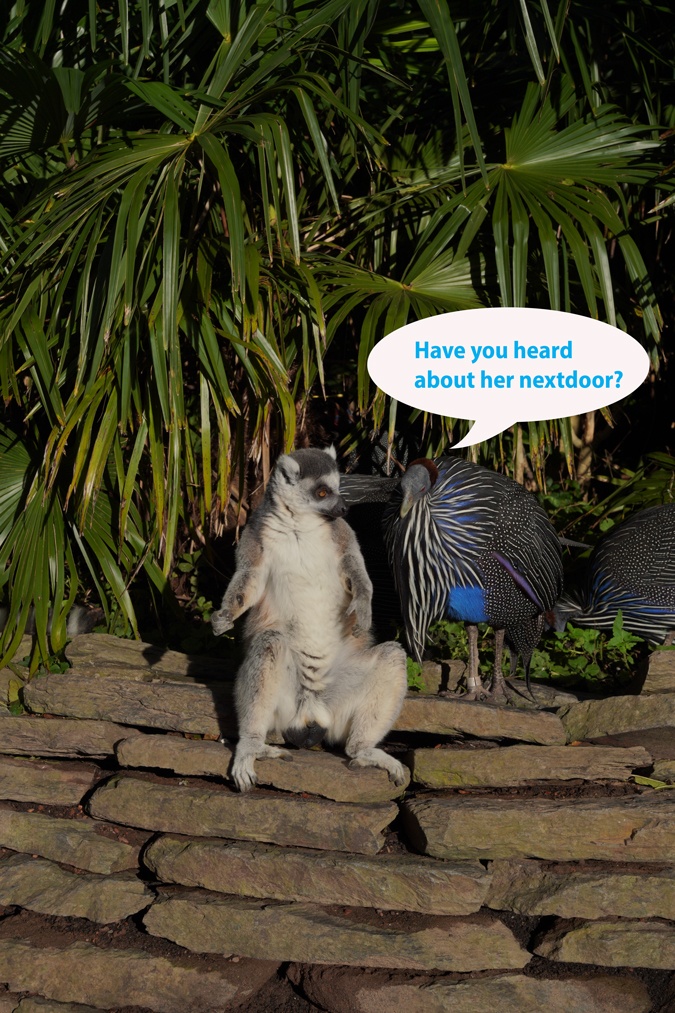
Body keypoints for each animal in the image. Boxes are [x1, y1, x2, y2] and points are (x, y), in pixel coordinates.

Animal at [211, 446, 408, 793]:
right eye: (322, 492)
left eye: (339, 487)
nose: (344, 508)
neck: (299, 523)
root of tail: (311, 712)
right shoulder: (254, 535)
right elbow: (249, 582)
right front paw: (225, 616)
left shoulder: (341, 533)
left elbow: (354, 567)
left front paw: (364, 604)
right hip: (285, 704)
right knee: (270, 643)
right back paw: (252, 744)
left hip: (338, 702)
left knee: (392, 656)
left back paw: (364, 750)